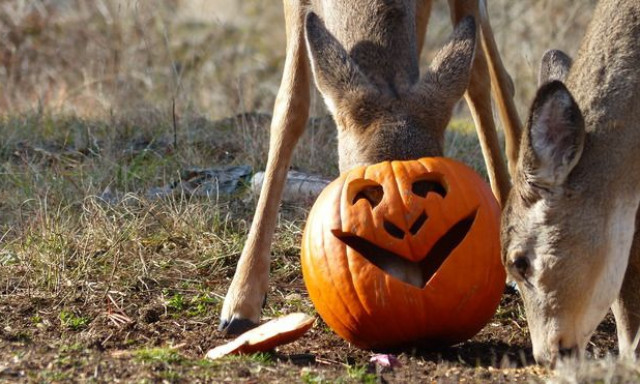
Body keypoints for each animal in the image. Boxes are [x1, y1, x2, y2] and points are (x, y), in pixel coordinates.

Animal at [218, 0, 524, 336]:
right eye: (363, 195)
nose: (410, 283)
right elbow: (291, 107)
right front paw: (241, 301)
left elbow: (473, 78)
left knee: (484, 69)